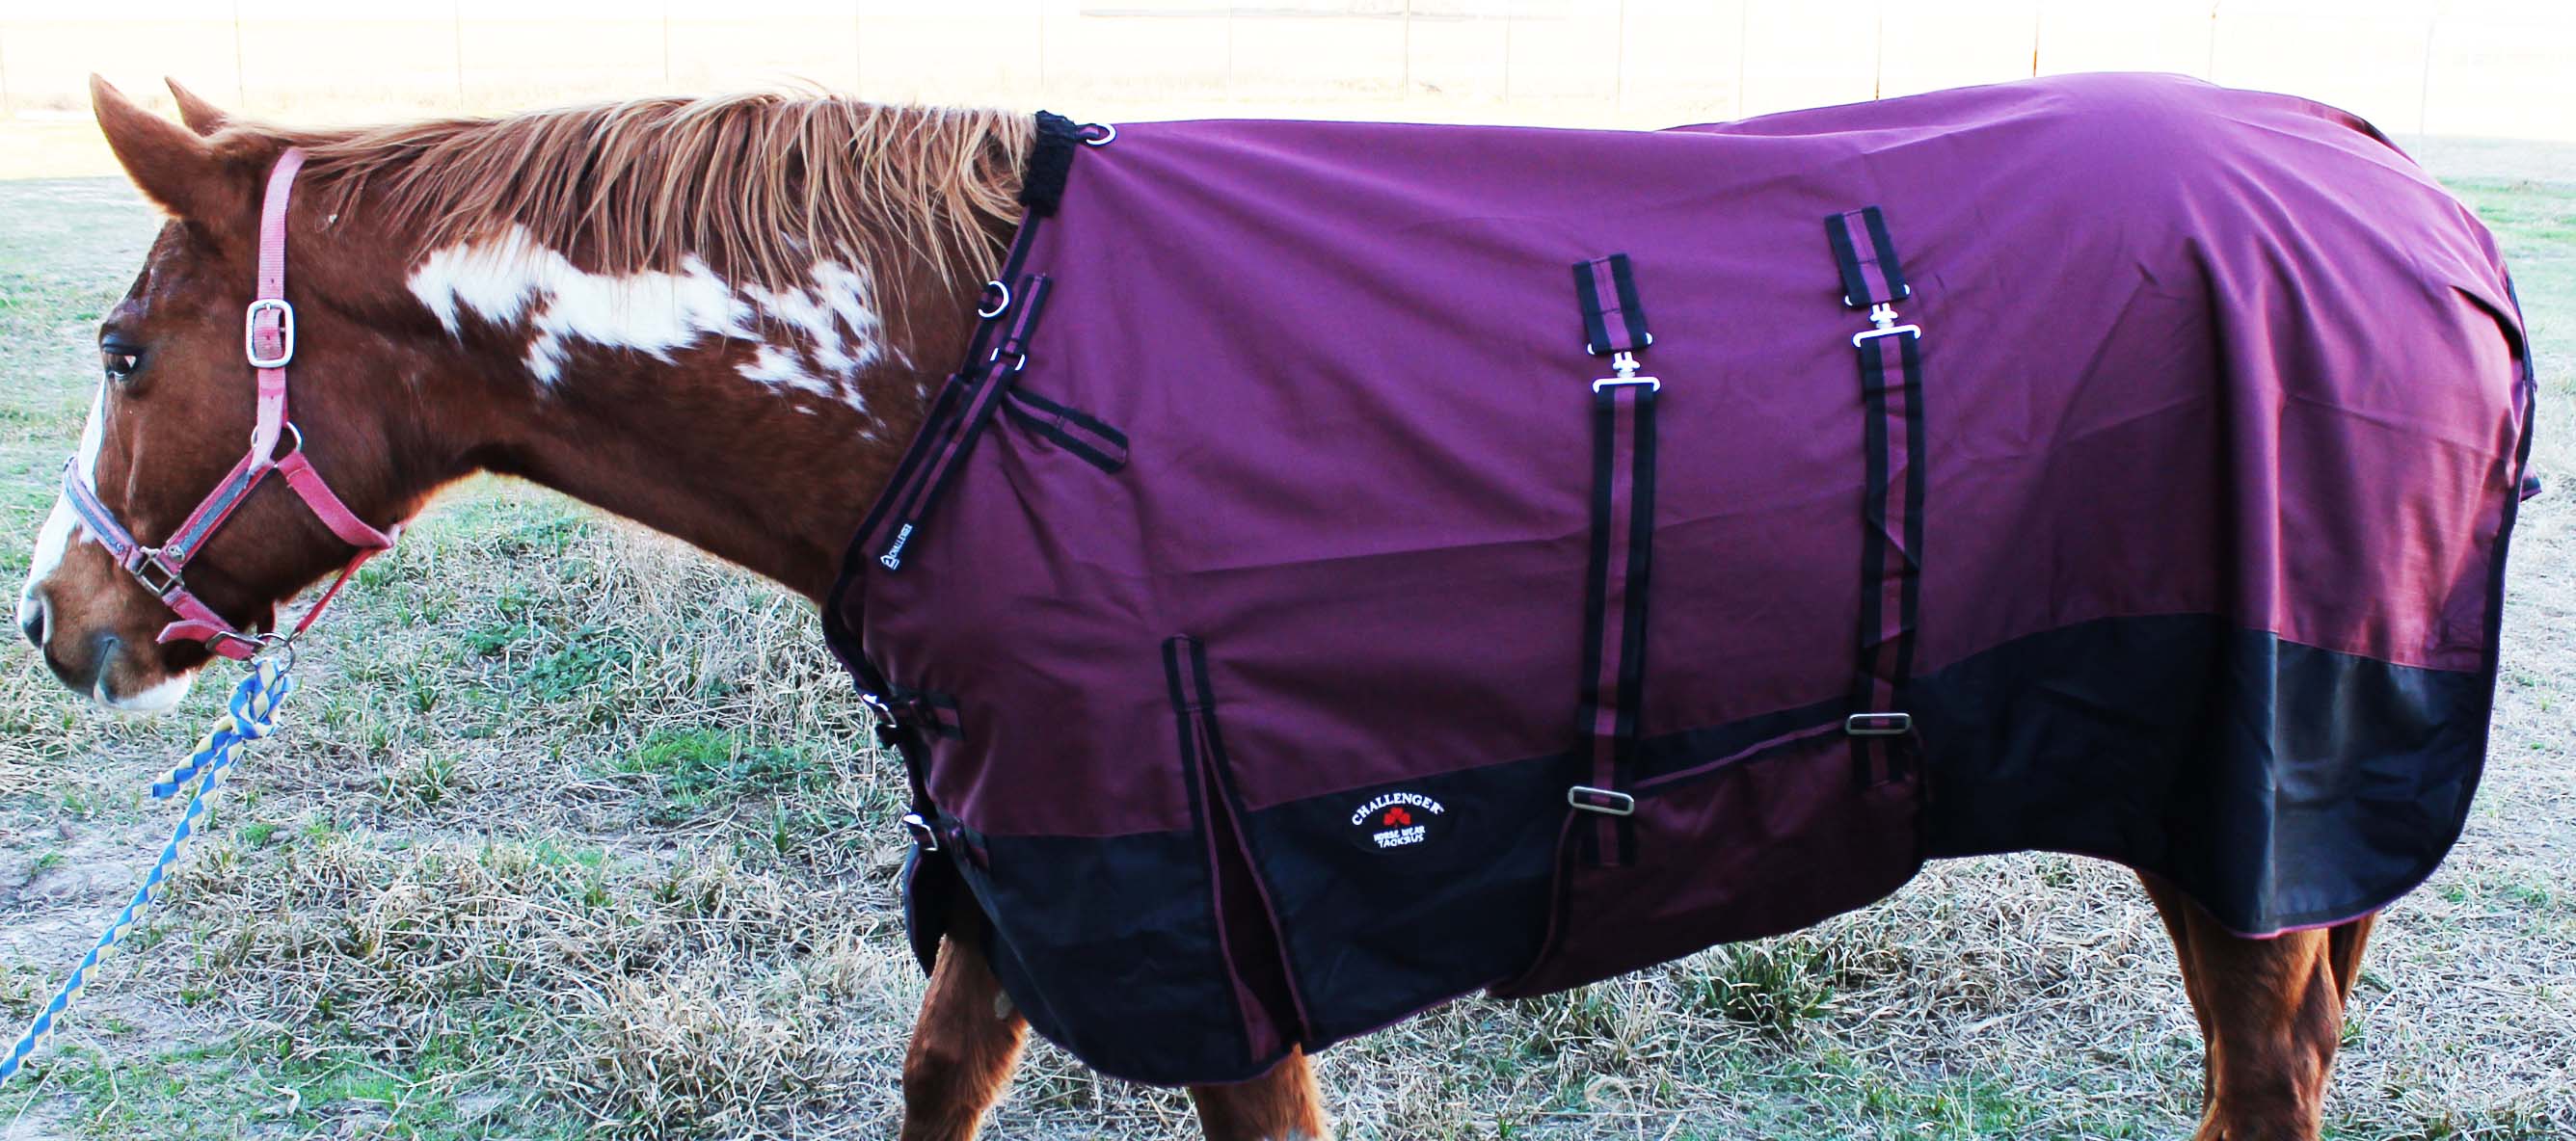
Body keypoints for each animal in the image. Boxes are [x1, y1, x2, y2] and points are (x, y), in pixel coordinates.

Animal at [14, 76, 2524, 1140]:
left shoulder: (1211, 921)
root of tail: (2407, 194)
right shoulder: (1029, 874)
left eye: (124, 355)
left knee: (2267, 1073)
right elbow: (936, 1082)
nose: (61, 627)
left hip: (2248, 790)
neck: (951, 381)